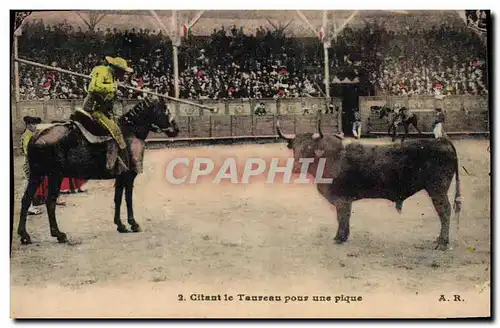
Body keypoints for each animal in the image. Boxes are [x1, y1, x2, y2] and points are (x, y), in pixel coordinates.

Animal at [18, 96, 180, 245]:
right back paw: (58, 234)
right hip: (54, 175)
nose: (176, 130)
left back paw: (25, 235)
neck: (131, 132)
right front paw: (133, 224)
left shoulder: (120, 177)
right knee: (49, 202)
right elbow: (128, 199)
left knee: (27, 199)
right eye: (165, 109)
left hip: (38, 175)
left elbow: (117, 199)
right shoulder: (128, 176)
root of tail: (36, 136)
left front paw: (120, 225)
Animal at [276, 119, 462, 250]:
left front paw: (339, 238)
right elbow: (344, 217)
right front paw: (343, 236)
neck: (330, 157)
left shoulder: (342, 199)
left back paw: (442, 243)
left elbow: (342, 217)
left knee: (445, 211)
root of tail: (441, 141)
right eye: (295, 148)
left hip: (437, 189)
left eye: (309, 148)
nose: (296, 167)